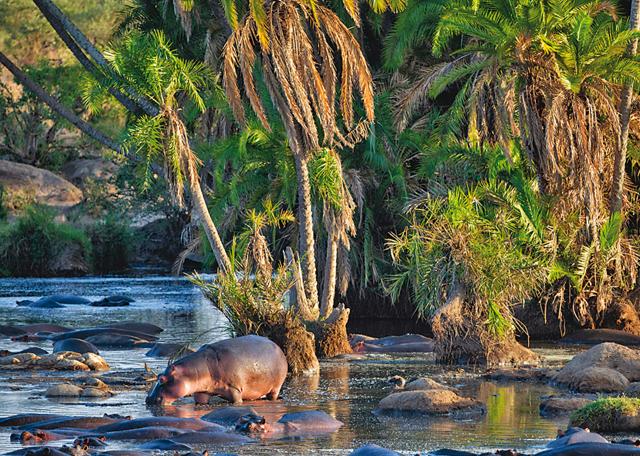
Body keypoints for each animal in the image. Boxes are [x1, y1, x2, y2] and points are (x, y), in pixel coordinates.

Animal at [146, 335, 288, 405]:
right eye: (158, 376)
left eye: (162, 379)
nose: (148, 399)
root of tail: (277, 346)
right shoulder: (201, 392)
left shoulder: (234, 388)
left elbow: (237, 401)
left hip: (276, 386)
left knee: (273, 395)